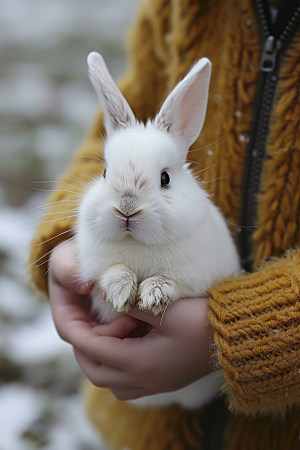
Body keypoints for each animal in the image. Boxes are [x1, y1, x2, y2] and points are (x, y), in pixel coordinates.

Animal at [76, 51, 240, 408]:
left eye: (165, 178)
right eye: (105, 173)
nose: (126, 208)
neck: (138, 244)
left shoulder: (196, 279)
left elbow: (173, 283)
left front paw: (152, 295)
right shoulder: (97, 271)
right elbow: (113, 272)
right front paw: (122, 292)